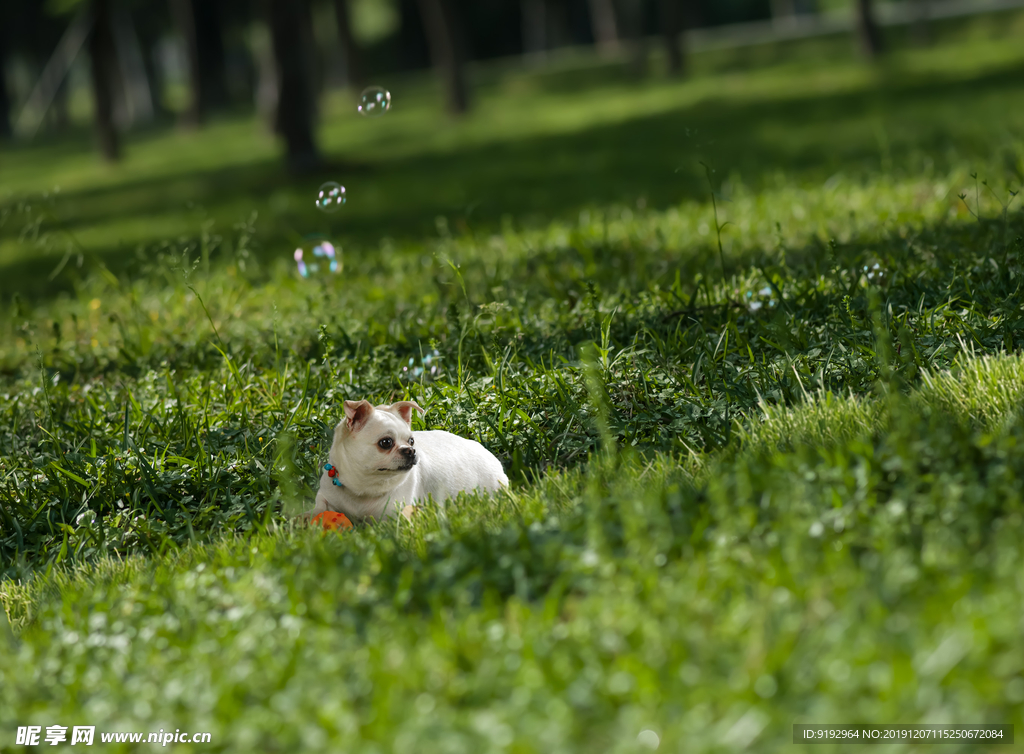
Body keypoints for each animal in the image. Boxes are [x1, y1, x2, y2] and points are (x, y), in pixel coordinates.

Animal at [307, 401, 507, 518]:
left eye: (411, 440)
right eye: (386, 442)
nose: (410, 450)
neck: (363, 489)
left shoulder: (395, 514)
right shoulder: (325, 497)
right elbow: (318, 508)